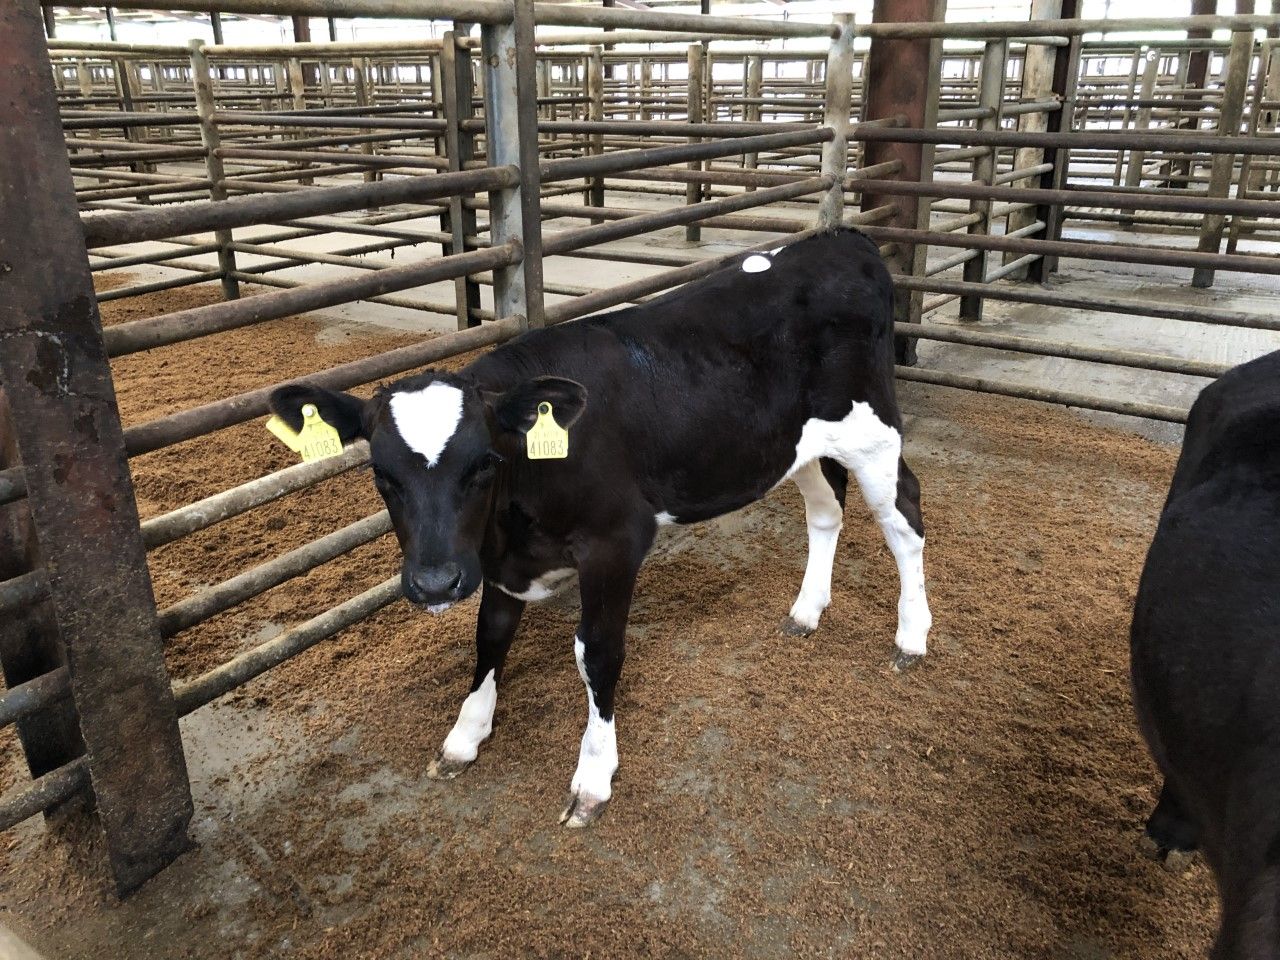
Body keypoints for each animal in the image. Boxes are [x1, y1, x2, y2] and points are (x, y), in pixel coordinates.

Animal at [270, 227, 932, 827]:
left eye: (483, 463)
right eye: (380, 473)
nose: (435, 583)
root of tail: (844, 238)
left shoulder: (616, 543)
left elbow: (598, 652)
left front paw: (593, 775)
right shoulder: (498, 560)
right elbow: (490, 638)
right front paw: (465, 734)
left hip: (874, 434)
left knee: (905, 519)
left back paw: (911, 636)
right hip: (797, 446)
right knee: (826, 511)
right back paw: (806, 610)